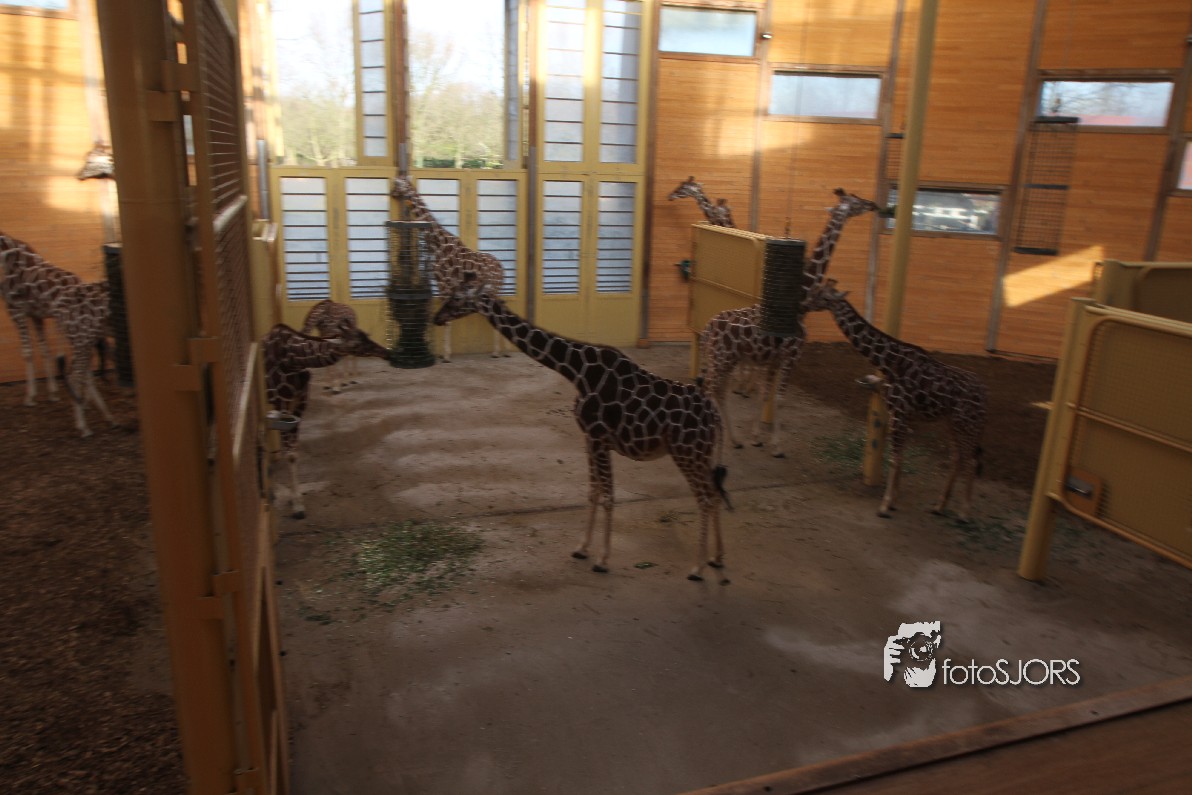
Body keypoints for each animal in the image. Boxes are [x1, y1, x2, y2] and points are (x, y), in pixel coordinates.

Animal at [263, 323, 390, 519]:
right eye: (356, 343)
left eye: (366, 336)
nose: (386, 353)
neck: (291, 359)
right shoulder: (281, 403)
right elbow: (290, 453)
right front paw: (297, 505)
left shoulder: (300, 403)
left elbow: (293, 453)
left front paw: (296, 500)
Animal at [390, 176, 508, 362]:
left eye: (397, 184)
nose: (392, 193)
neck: (438, 244)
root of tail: (502, 269)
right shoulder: (442, 285)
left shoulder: (445, 284)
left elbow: (447, 320)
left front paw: (445, 355)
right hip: (492, 290)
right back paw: (502, 351)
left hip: (493, 289)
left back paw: (497, 352)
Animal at [434, 272, 732, 582]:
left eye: (457, 297)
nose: (436, 317)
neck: (576, 372)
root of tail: (715, 416)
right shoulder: (589, 437)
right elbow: (593, 493)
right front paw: (582, 548)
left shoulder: (599, 437)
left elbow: (609, 496)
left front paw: (602, 559)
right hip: (701, 453)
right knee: (714, 493)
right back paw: (716, 558)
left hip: (686, 451)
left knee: (705, 497)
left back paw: (697, 568)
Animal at [699, 189, 879, 457]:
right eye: (855, 201)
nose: (873, 204)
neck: (800, 304)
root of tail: (708, 327)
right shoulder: (791, 355)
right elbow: (779, 399)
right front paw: (776, 446)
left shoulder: (774, 359)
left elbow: (765, 395)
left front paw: (756, 438)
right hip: (722, 357)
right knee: (710, 389)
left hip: (725, 358)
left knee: (718, 391)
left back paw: (735, 439)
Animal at [804, 279, 987, 521]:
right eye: (815, 292)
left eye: (821, 296)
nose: (804, 304)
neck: (889, 364)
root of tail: (985, 394)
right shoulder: (901, 413)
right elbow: (899, 457)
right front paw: (893, 501)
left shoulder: (899, 412)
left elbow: (895, 457)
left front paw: (884, 505)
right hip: (952, 423)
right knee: (958, 457)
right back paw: (939, 506)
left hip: (967, 423)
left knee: (972, 459)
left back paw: (964, 513)